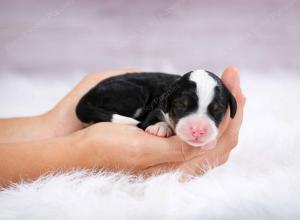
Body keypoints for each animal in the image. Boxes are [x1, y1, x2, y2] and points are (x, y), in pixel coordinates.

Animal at [75, 69, 237, 148]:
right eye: (181, 105)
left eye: (217, 109)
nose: (197, 130)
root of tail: (88, 95)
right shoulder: (156, 108)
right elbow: (152, 121)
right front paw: (160, 127)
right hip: (134, 93)